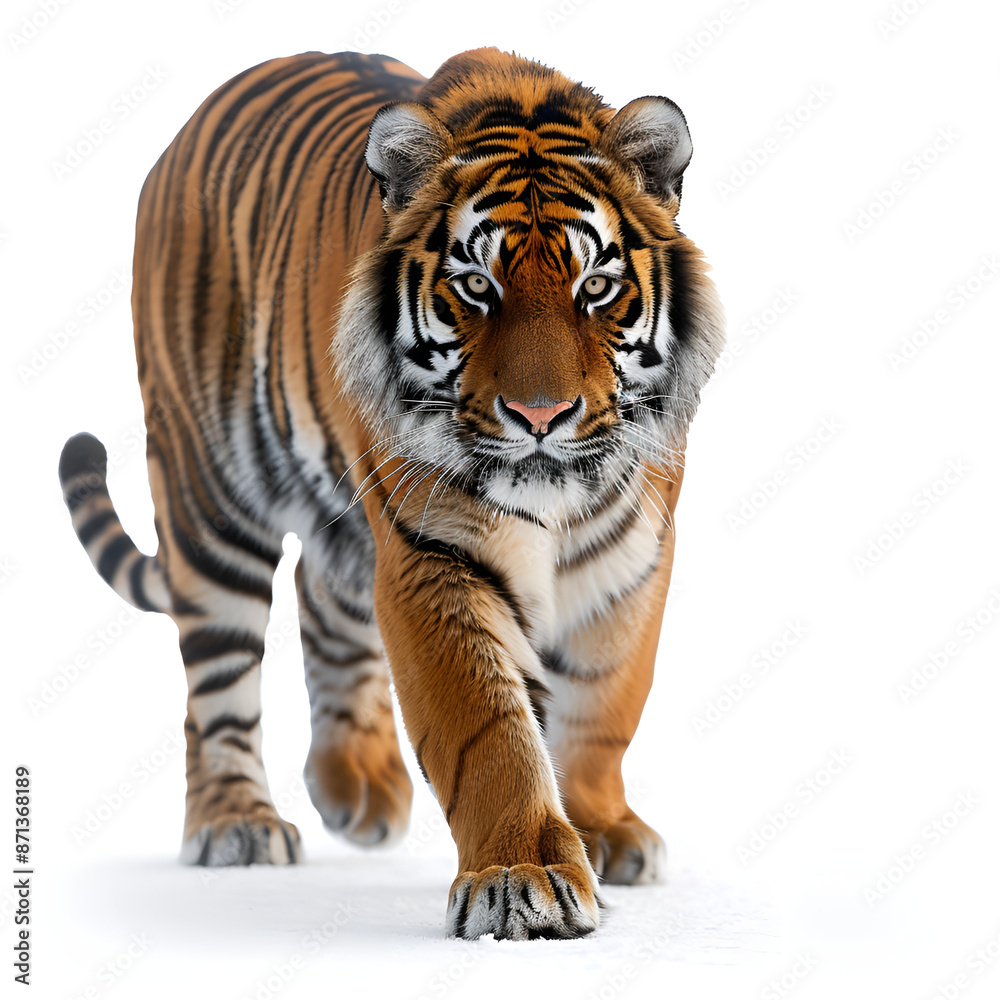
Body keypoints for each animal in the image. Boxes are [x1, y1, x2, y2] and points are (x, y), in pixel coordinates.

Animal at [58, 47, 724, 941]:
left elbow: (607, 702)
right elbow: (488, 729)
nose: (540, 416)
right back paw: (237, 823)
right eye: (476, 286)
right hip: (208, 494)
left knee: (322, 589)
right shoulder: (432, 554)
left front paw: (604, 830)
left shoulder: (633, 555)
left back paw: (355, 789)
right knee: (217, 680)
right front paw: (523, 877)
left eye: (595, 288)